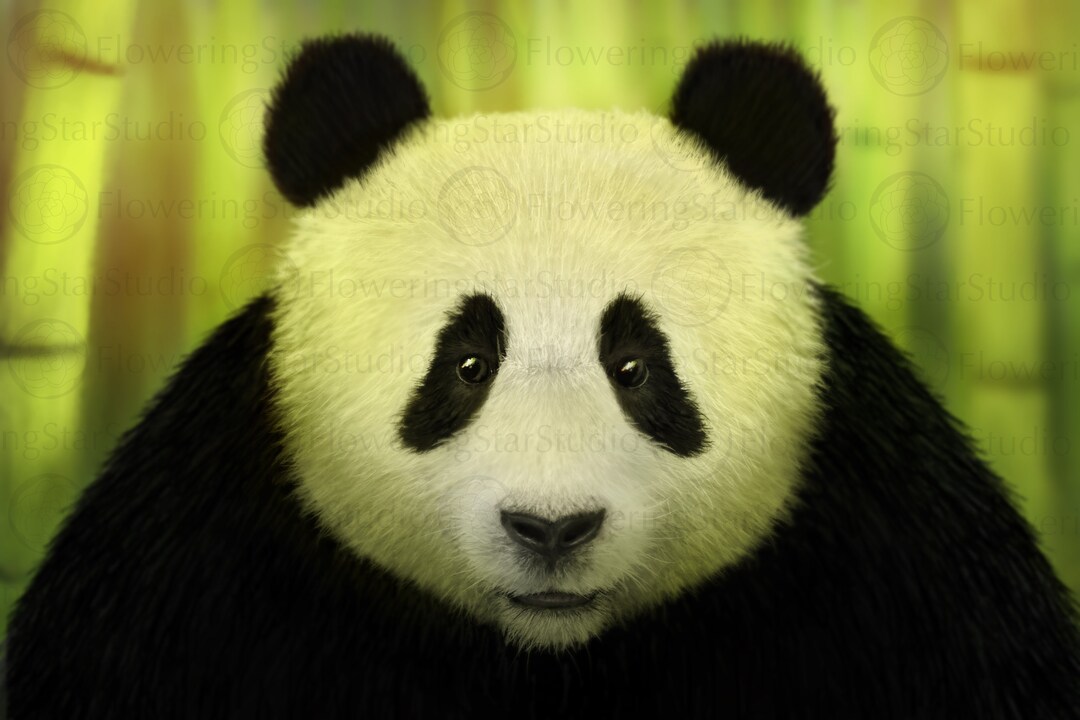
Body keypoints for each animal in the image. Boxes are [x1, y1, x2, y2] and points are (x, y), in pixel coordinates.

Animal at [5, 33, 1080, 719]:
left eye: (636, 366)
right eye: (467, 363)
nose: (553, 528)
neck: (546, 656)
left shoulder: (887, 543)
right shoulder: (204, 546)